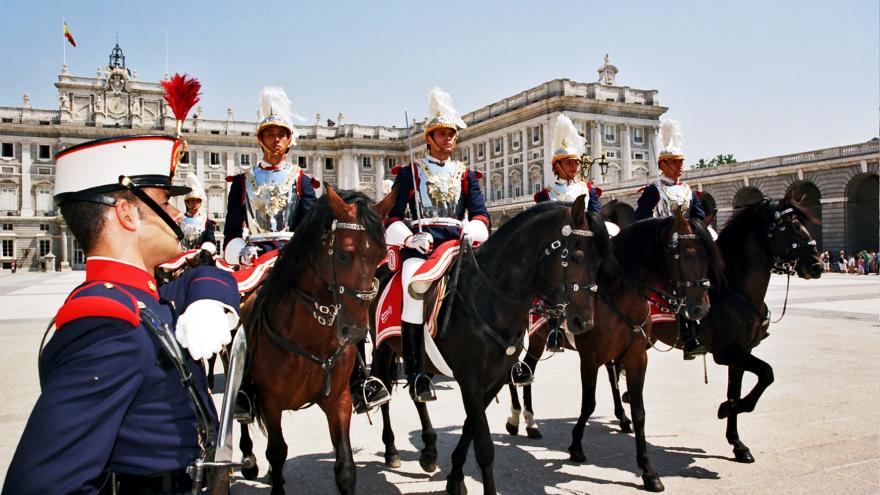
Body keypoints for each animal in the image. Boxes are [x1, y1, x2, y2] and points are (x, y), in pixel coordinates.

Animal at [239, 188, 394, 494]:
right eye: (344, 254)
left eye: (381, 255)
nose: (355, 331)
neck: (311, 338)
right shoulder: (270, 401)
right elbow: (277, 452)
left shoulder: (338, 399)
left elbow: (345, 467)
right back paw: (248, 460)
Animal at [366, 196, 612, 494]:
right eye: (575, 256)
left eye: (601, 261)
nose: (583, 322)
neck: (491, 297)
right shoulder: (469, 380)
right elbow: (484, 445)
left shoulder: (494, 379)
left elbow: (470, 428)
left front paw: (455, 477)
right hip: (382, 347)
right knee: (385, 392)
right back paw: (391, 449)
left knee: (417, 390)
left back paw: (429, 450)